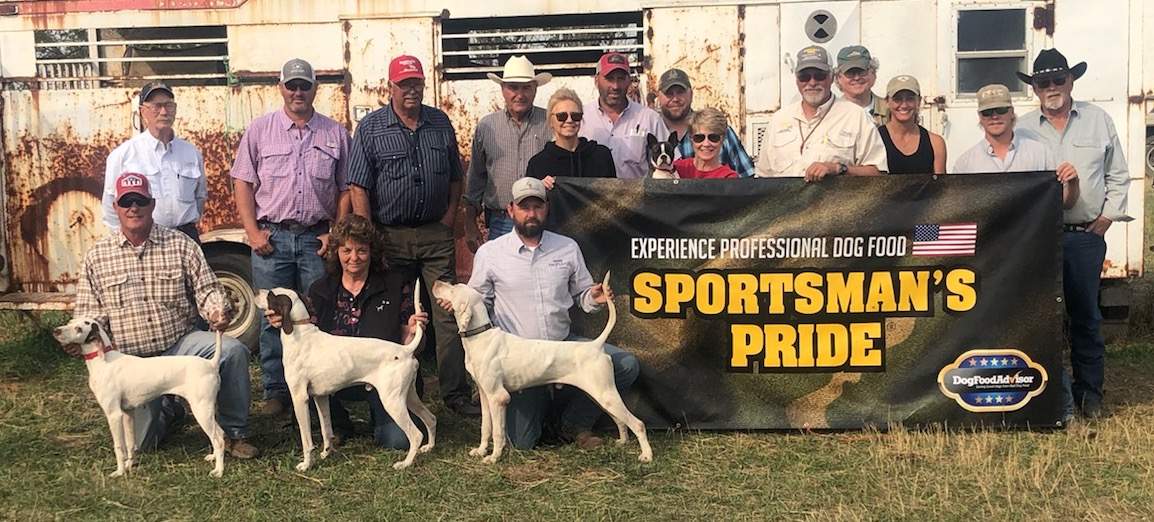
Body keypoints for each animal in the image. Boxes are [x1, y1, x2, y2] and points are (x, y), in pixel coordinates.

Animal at [51, 316, 227, 478]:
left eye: (79, 329)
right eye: (70, 322)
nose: (56, 331)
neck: (104, 361)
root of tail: (211, 364)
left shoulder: (114, 415)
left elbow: (119, 447)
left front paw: (120, 471)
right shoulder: (128, 413)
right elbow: (130, 443)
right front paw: (130, 465)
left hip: (201, 410)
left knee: (218, 439)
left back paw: (219, 471)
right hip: (207, 410)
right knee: (220, 433)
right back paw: (213, 457)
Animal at [255, 285, 433, 473]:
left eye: (271, 295)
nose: (255, 290)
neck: (300, 334)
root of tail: (405, 350)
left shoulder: (299, 398)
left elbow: (306, 441)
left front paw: (306, 464)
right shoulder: (320, 397)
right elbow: (326, 430)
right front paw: (326, 453)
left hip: (393, 402)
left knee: (416, 434)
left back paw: (405, 463)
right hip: (408, 397)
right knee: (431, 418)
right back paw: (429, 447)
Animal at [433, 271, 655, 461]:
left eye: (453, 289)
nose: (436, 282)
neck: (480, 336)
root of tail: (595, 345)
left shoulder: (498, 398)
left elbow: (497, 432)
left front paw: (494, 457)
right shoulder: (485, 396)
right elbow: (485, 429)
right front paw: (480, 451)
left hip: (605, 395)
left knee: (638, 423)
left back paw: (646, 456)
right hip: (600, 395)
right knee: (621, 421)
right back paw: (622, 442)